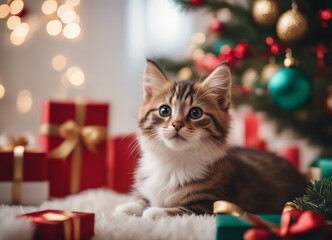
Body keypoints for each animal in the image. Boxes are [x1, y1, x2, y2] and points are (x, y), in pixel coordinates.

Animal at [114, 59, 306, 219]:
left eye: (195, 113)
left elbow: (181, 209)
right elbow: (141, 199)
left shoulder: (212, 204)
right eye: (164, 110)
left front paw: (155, 211)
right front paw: (127, 207)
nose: (176, 124)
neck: (175, 160)